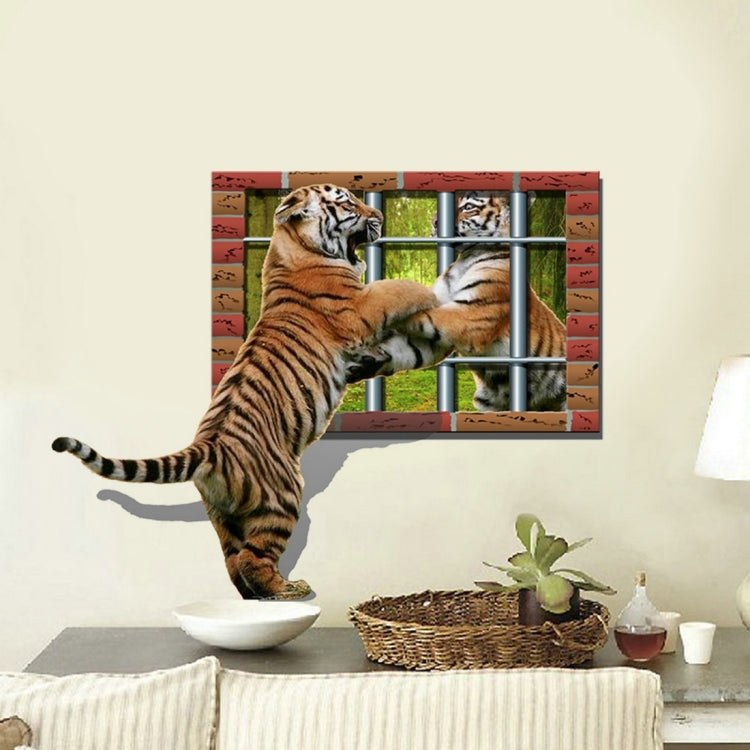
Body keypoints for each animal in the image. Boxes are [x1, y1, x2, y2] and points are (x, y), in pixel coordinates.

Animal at [52, 184, 437, 600]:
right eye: (348, 203)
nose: (380, 217)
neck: (290, 248)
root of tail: (210, 447)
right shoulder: (358, 307)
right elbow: (396, 288)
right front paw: (432, 291)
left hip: (222, 516)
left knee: (233, 562)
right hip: (283, 495)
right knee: (254, 559)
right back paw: (290, 589)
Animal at [346, 191, 567, 411]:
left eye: (468, 207)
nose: (435, 222)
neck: (466, 257)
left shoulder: (471, 315)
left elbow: (421, 316)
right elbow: (407, 348)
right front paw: (364, 362)